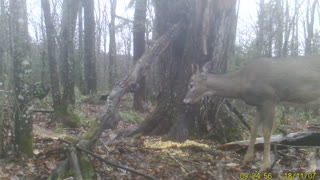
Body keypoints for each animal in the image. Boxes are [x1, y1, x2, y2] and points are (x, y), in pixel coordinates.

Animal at [184, 55, 320, 171]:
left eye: (191, 85)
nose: (185, 101)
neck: (241, 82)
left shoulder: (270, 99)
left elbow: (266, 131)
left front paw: (265, 166)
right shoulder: (259, 104)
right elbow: (254, 129)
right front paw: (246, 160)